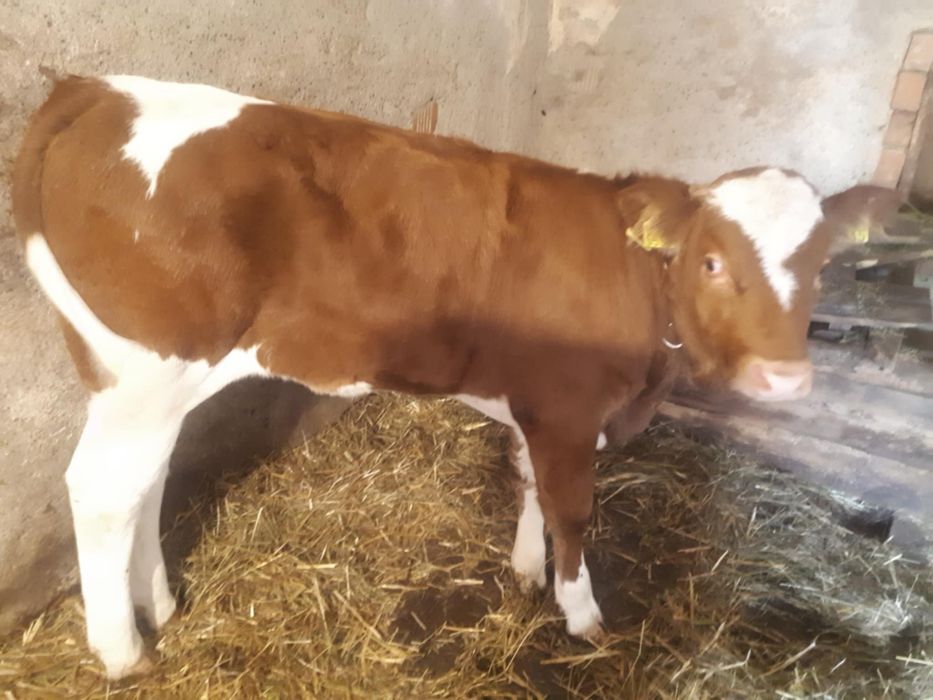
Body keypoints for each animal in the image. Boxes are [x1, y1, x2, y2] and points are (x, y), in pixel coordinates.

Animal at [11, 75, 898, 679]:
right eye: (711, 261)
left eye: (821, 265)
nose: (784, 379)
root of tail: (98, 88)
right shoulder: (570, 409)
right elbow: (572, 511)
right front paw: (581, 615)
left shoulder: (539, 407)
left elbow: (531, 486)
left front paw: (526, 570)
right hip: (152, 371)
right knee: (103, 491)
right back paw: (124, 652)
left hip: (133, 380)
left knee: (145, 482)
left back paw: (157, 606)